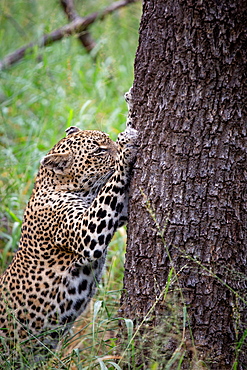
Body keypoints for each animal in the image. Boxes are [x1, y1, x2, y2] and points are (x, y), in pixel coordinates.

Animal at [0, 88, 137, 362]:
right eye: (99, 151)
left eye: (107, 141)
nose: (116, 144)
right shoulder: (89, 232)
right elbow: (112, 183)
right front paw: (126, 148)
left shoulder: (117, 211)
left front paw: (130, 103)